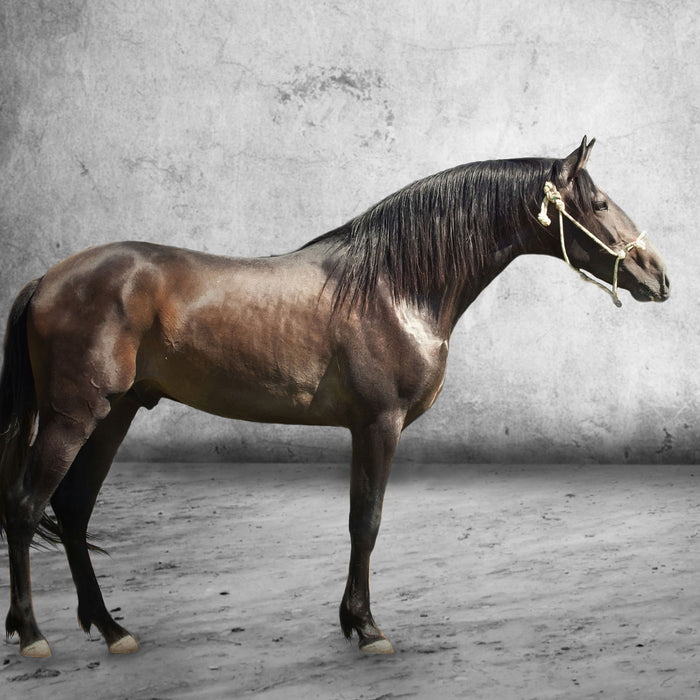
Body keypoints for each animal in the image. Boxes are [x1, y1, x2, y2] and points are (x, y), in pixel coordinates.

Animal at [0, 137, 668, 656]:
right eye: (600, 203)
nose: (659, 276)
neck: (396, 288)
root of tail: (46, 279)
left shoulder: (362, 428)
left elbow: (357, 521)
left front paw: (352, 621)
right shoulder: (378, 424)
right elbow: (365, 522)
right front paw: (368, 628)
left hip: (113, 415)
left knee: (74, 509)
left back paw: (112, 630)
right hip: (72, 417)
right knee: (27, 507)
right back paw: (33, 635)